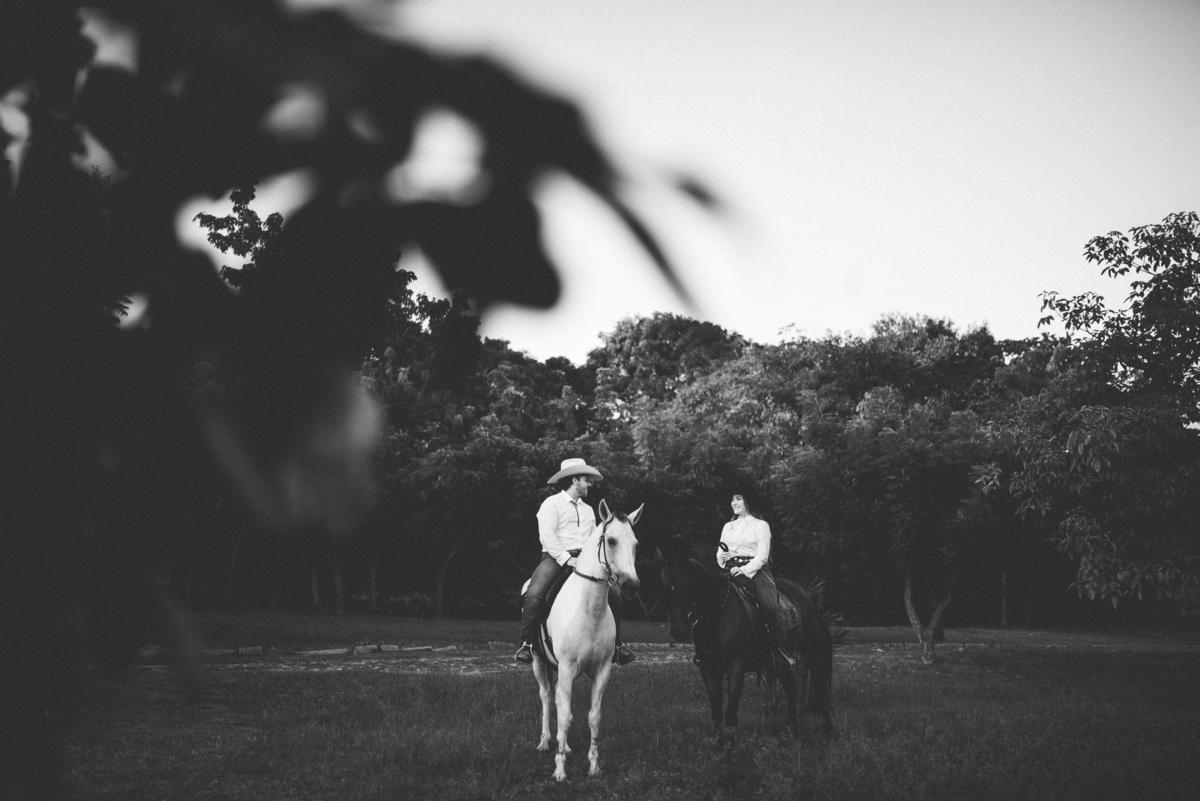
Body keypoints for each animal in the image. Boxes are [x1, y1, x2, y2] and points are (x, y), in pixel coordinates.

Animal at [529, 499, 642, 781]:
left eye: (635, 543)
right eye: (611, 540)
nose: (631, 585)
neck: (589, 609)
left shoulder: (601, 670)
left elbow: (593, 717)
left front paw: (593, 765)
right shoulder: (567, 667)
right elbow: (565, 716)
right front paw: (559, 770)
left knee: (559, 700)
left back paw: (566, 746)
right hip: (538, 662)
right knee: (546, 697)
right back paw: (545, 742)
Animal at [661, 554, 834, 743]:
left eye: (686, 584)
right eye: (666, 586)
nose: (679, 631)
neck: (719, 616)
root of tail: (807, 598)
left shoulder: (736, 667)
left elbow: (730, 712)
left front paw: (730, 745)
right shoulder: (708, 668)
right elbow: (716, 711)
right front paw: (717, 743)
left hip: (812, 656)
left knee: (821, 690)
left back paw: (828, 732)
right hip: (779, 665)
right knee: (791, 688)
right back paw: (789, 732)